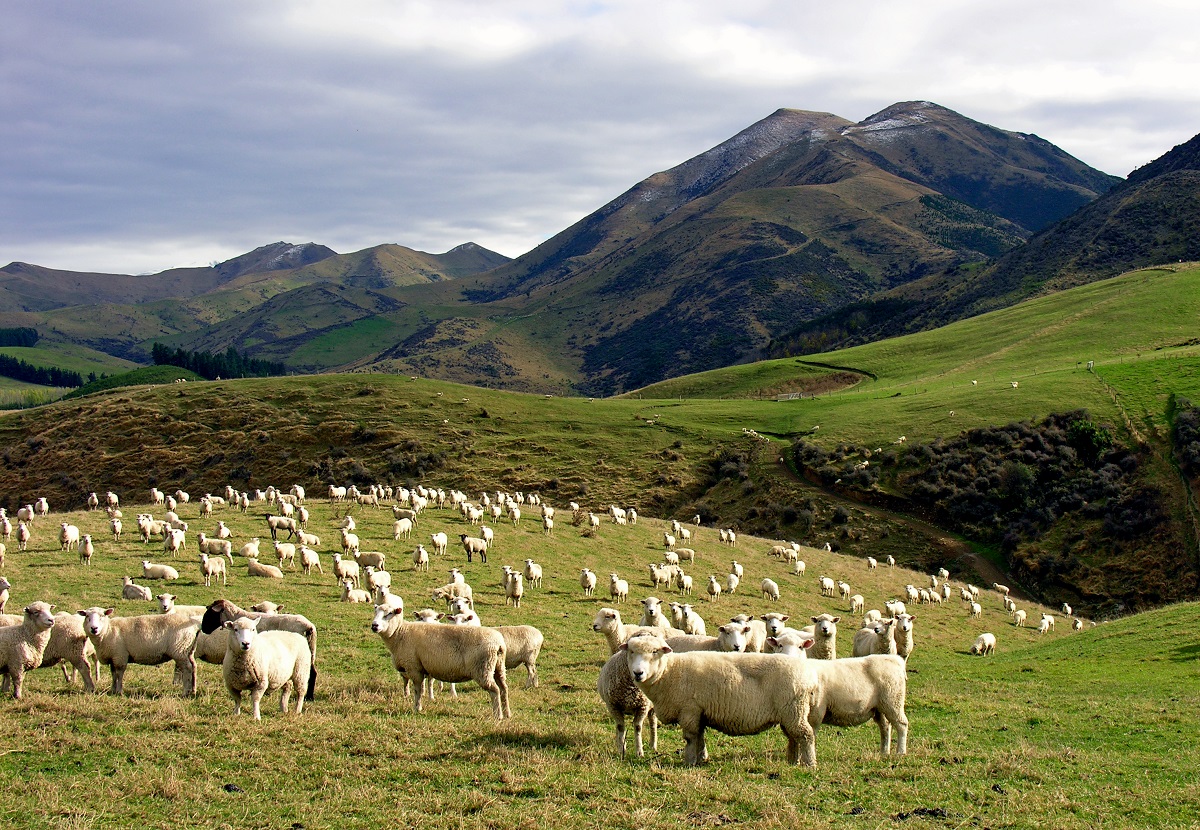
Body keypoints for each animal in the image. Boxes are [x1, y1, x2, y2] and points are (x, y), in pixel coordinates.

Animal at [369, 602, 511, 719]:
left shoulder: (414, 667)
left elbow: (418, 690)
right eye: (375, 613)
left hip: (483, 669)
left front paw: (417, 708)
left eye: (389, 613)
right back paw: (507, 713)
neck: (400, 633)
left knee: (494, 690)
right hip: (498, 667)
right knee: (503, 688)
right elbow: (422, 688)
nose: (374, 626)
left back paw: (498, 716)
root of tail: (498, 644)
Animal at [619, 633, 825, 762]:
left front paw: (689, 761)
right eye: (631, 651)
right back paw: (792, 760)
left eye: (655, 652)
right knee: (794, 737)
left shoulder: (690, 710)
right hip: (789, 714)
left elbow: (690, 738)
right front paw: (702, 758)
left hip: (794, 710)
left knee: (806, 735)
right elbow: (700, 737)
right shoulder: (700, 712)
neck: (669, 671)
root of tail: (810, 676)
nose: (638, 673)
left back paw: (809, 764)